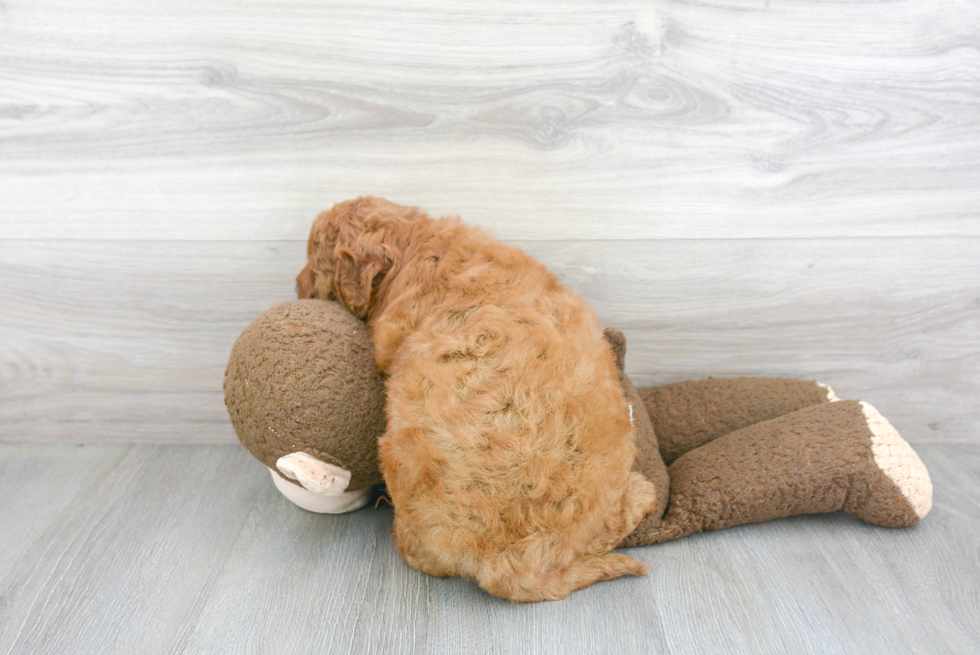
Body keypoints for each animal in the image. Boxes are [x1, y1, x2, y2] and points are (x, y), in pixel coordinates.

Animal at [294, 197, 656, 604]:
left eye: (314, 263)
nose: (296, 284)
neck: (416, 244)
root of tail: (508, 566)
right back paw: (642, 496)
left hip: (401, 454)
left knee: (419, 555)